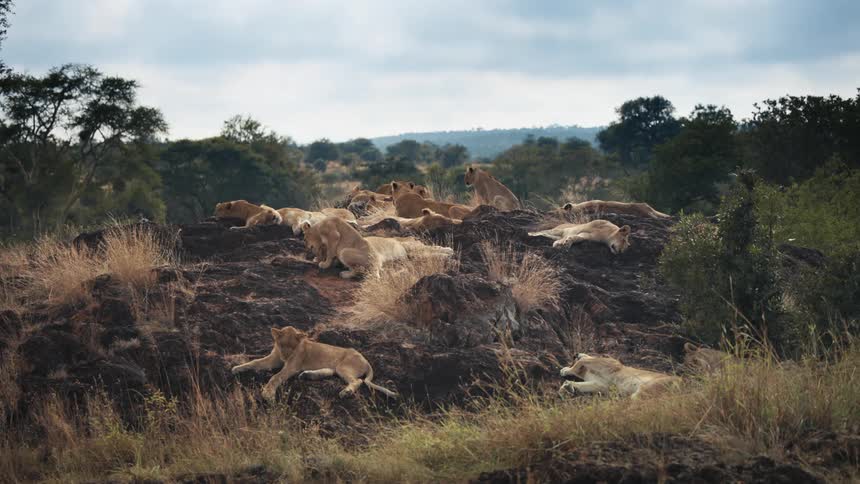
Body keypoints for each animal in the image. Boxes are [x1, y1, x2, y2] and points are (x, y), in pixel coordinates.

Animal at [231, 325, 398, 401]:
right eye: (282, 345)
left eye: (292, 347)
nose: (285, 357)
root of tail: (366, 361)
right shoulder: (273, 359)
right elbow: (255, 362)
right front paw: (237, 368)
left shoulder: (291, 366)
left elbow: (275, 377)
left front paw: (268, 393)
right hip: (336, 368)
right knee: (330, 372)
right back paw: (306, 375)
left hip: (343, 366)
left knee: (358, 381)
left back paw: (346, 392)